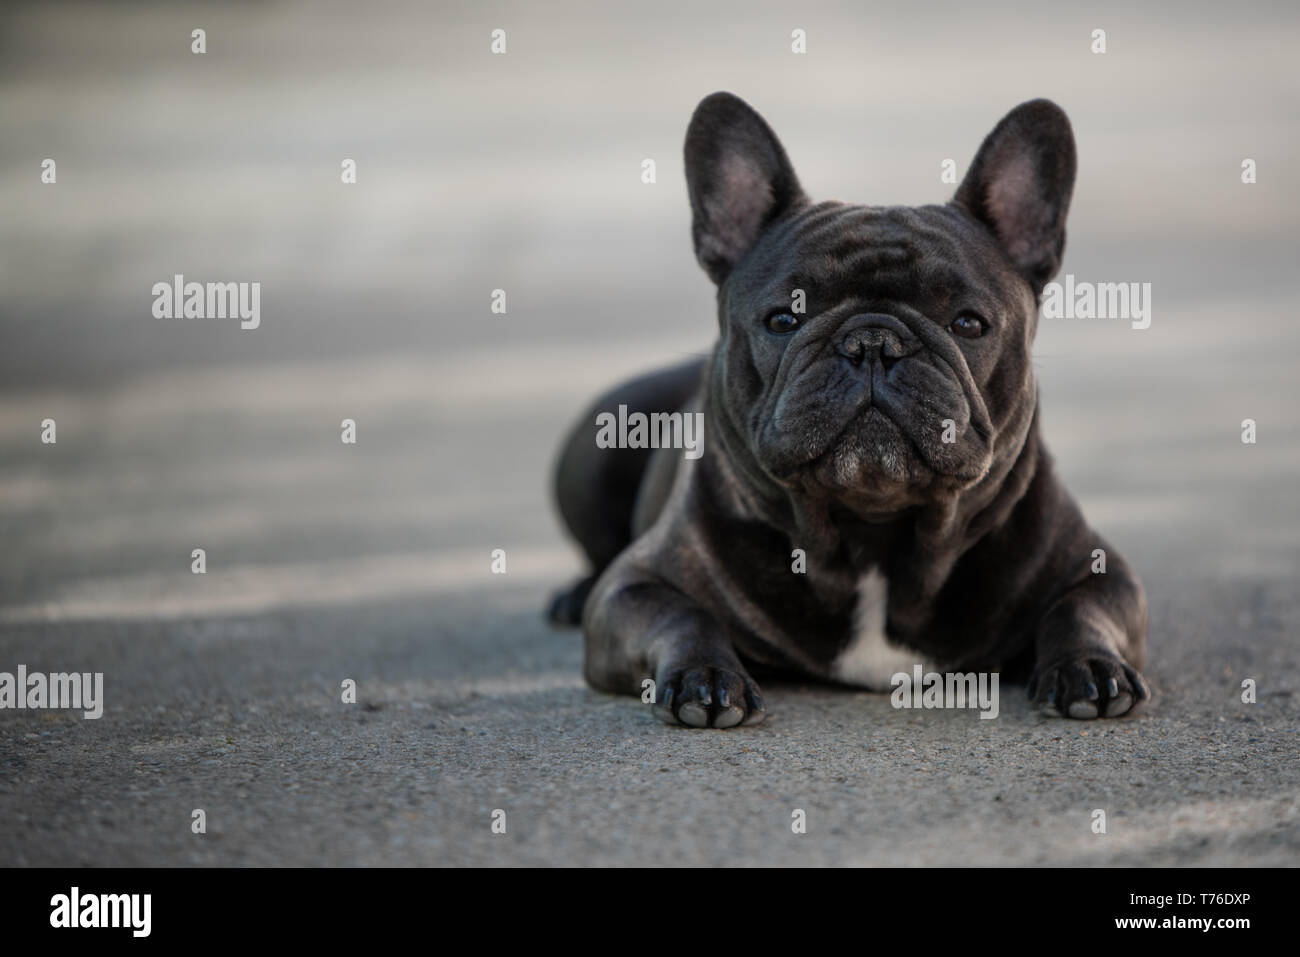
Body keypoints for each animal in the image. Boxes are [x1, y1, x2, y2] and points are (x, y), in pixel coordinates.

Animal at [548, 93, 1149, 728]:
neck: (873, 536)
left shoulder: (1102, 573)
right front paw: (704, 676)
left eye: (968, 323)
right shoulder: (634, 587)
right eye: (782, 319)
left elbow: (1081, 610)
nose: (872, 341)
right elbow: (683, 614)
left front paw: (1090, 667)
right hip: (601, 438)